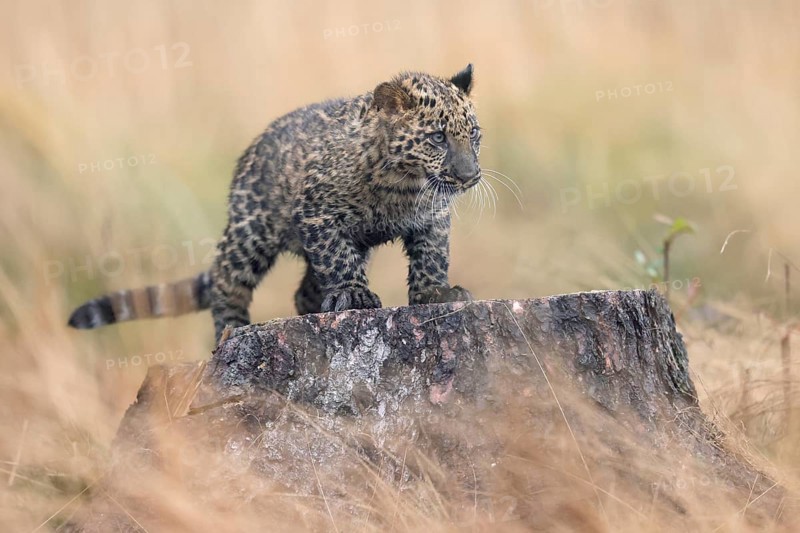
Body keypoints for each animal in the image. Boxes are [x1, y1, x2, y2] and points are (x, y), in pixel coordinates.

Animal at [68, 64, 482, 343]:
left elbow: (431, 257)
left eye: (474, 135)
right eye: (438, 138)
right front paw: (354, 293)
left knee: (303, 292)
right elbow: (338, 259)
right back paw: (231, 329)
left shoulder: (432, 218)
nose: (469, 175)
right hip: (250, 230)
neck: (402, 185)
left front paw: (435, 293)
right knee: (226, 280)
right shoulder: (317, 214)